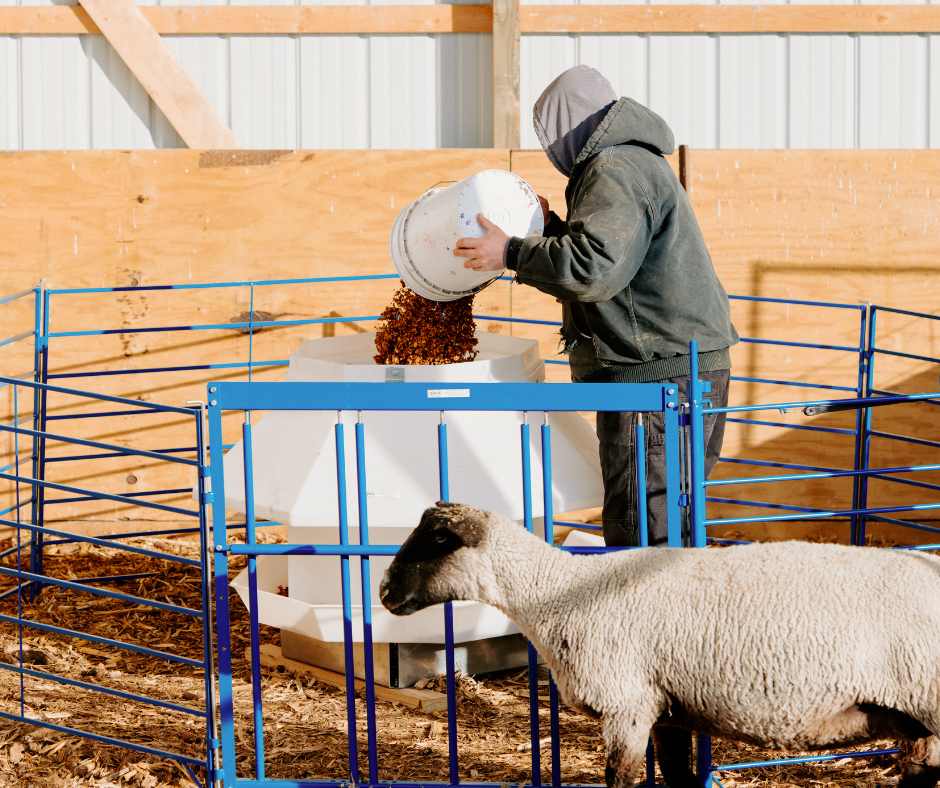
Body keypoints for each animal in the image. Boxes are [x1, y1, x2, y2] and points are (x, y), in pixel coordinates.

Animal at [379, 501, 940, 788]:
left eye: (439, 540)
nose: (384, 592)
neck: (557, 593)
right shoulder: (666, 708)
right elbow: (676, 778)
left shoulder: (626, 704)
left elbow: (623, 780)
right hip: (913, 714)